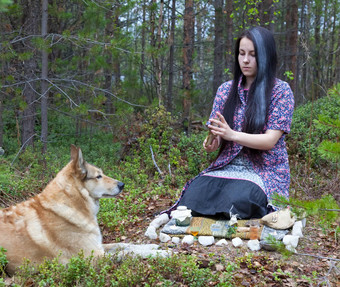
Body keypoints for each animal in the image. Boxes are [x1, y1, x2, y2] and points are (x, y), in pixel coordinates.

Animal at [0, 145, 124, 276]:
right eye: (98, 176)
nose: (122, 184)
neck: (70, 204)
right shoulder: (92, 256)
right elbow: (123, 254)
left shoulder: (98, 247)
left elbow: (123, 245)